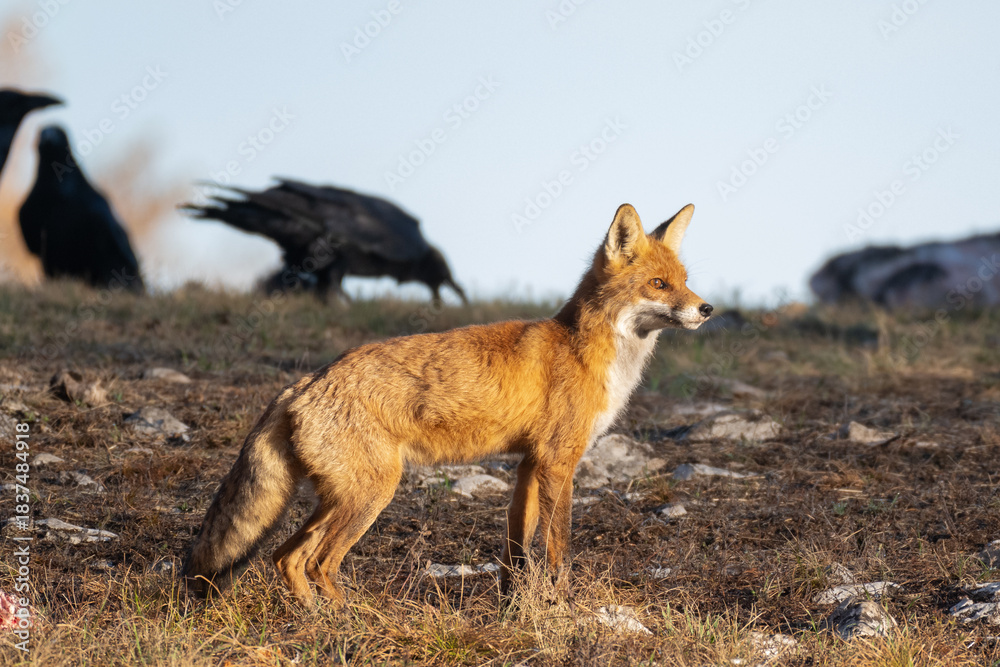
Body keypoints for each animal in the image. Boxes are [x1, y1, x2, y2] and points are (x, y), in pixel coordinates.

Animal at [184, 202, 713, 604]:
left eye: (686, 280)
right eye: (659, 285)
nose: (706, 309)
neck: (587, 351)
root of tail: (306, 382)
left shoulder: (529, 463)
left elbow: (517, 548)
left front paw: (512, 605)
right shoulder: (558, 460)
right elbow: (558, 545)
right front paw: (564, 601)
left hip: (338, 499)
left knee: (284, 556)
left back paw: (315, 617)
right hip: (370, 495)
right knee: (315, 562)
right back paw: (349, 618)